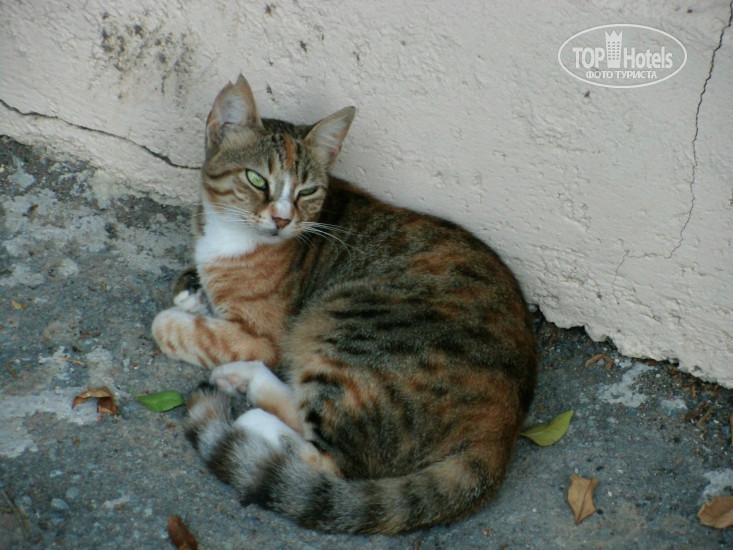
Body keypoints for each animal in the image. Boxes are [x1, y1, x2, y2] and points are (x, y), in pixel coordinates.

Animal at [152, 75, 537, 534]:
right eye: (257, 180)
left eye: (307, 191)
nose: (282, 219)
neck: (227, 233)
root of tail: (504, 429)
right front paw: (192, 290)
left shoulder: (264, 335)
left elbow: (173, 328)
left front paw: (181, 315)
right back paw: (245, 377)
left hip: (344, 331)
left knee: (332, 461)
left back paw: (252, 415)